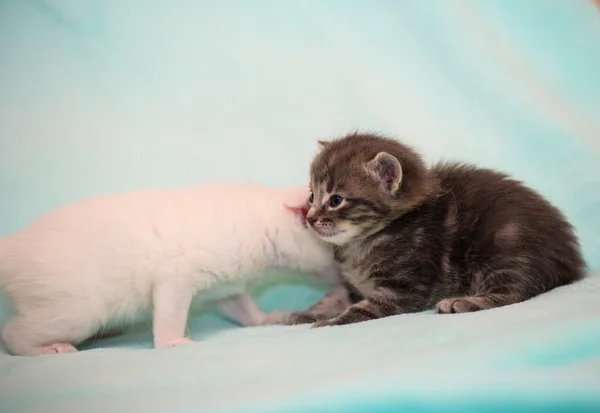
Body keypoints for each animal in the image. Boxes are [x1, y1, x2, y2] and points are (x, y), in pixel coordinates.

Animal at [0, 182, 338, 356]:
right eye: (339, 250)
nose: (342, 276)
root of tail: (14, 244)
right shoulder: (176, 274)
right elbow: (169, 316)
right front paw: (170, 342)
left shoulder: (223, 288)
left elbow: (242, 308)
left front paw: (265, 319)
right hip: (76, 311)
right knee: (12, 332)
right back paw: (46, 349)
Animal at [284, 132, 584, 326]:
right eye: (311, 196)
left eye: (336, 200)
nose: (309, 217)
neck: (365, 241)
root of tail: (571, 254)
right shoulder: (353, 287)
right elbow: (334, 297)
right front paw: (306, 312)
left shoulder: (405, 285)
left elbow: (367, 307)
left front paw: (333, 321)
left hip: (506, 243)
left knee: (516, 292)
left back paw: (464, 302)